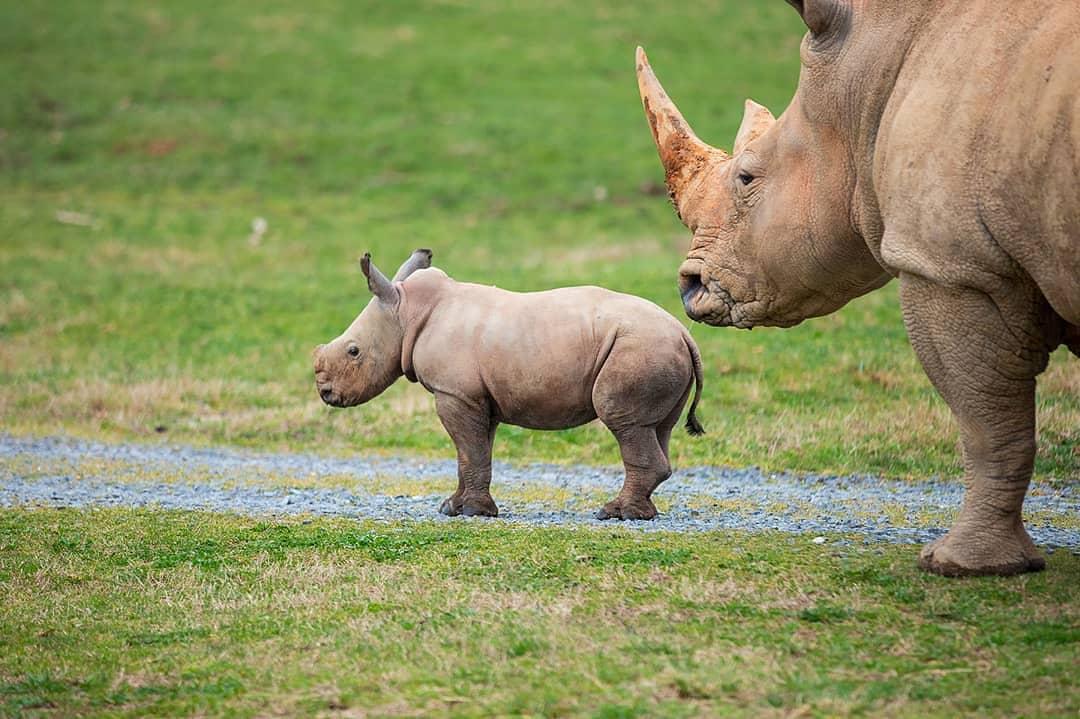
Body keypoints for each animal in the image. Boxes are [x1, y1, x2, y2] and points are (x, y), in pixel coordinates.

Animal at [312, 249, 704, 520]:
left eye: (353, 351)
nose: (325, 393)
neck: (406, 312)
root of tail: (684, 333)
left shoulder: (455, 393)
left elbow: (468, 450)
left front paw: (469, 512)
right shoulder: (478, 397)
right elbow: (475, 452)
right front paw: (456, 507)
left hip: (640, 347)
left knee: (623, 421)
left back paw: (613, 514)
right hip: (656, 348)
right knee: (656, 427)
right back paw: (641, 513)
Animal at [637, 0, 1079, 576]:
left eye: (747, 178)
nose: (689, 286)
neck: (871, 82)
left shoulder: (951, 268)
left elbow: (986, 419)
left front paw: (963, 565)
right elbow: (995, 418)